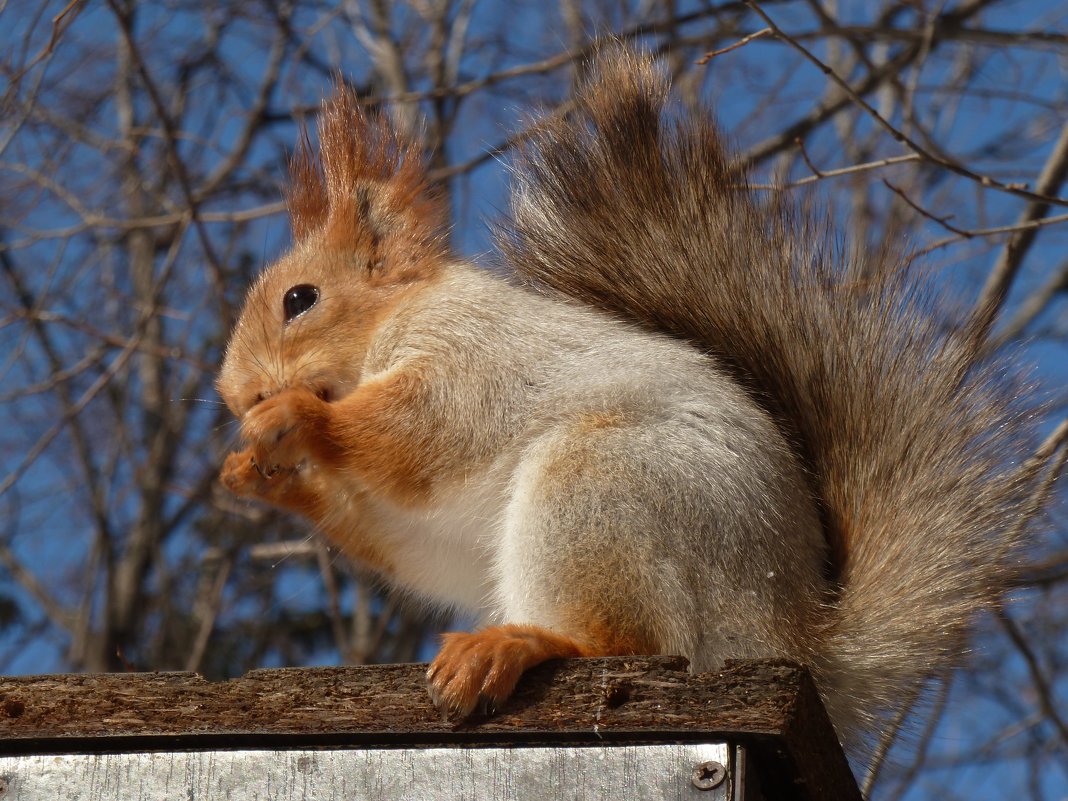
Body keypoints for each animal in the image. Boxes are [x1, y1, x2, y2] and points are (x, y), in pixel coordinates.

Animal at [218, 48, 1042, 751]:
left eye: (300, 298)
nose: (236, 394)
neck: (391, 323)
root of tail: (789, 637)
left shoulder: (469, 360)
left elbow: (415, 434)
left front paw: (291, 419)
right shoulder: (432, 519)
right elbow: (411, 537)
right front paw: (255, 476)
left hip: (602, 485)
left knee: (626, 644)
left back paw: (518, 644)